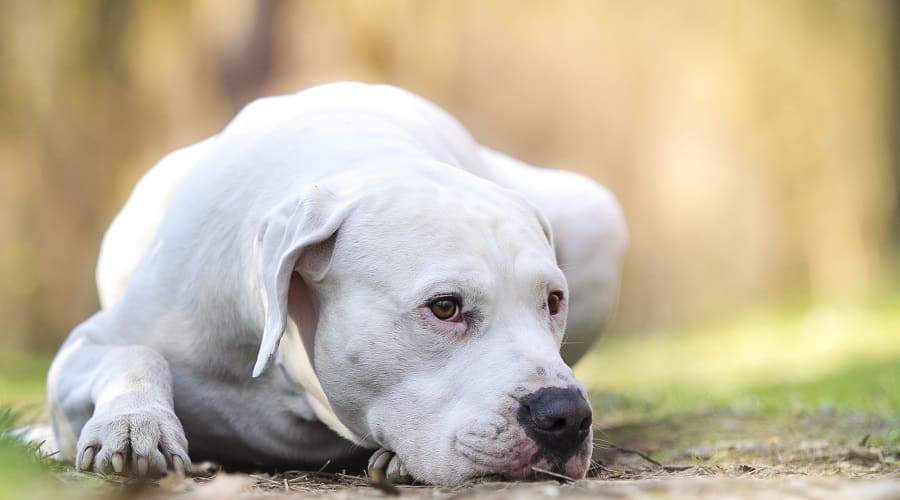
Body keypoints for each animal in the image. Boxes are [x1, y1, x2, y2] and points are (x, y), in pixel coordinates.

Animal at [47, 82, 624, 484]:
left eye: (553, 301)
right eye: (444, 307)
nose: (566, 415)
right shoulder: (85, 349)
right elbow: (133, 354)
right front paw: (133, 421)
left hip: (596, 214)